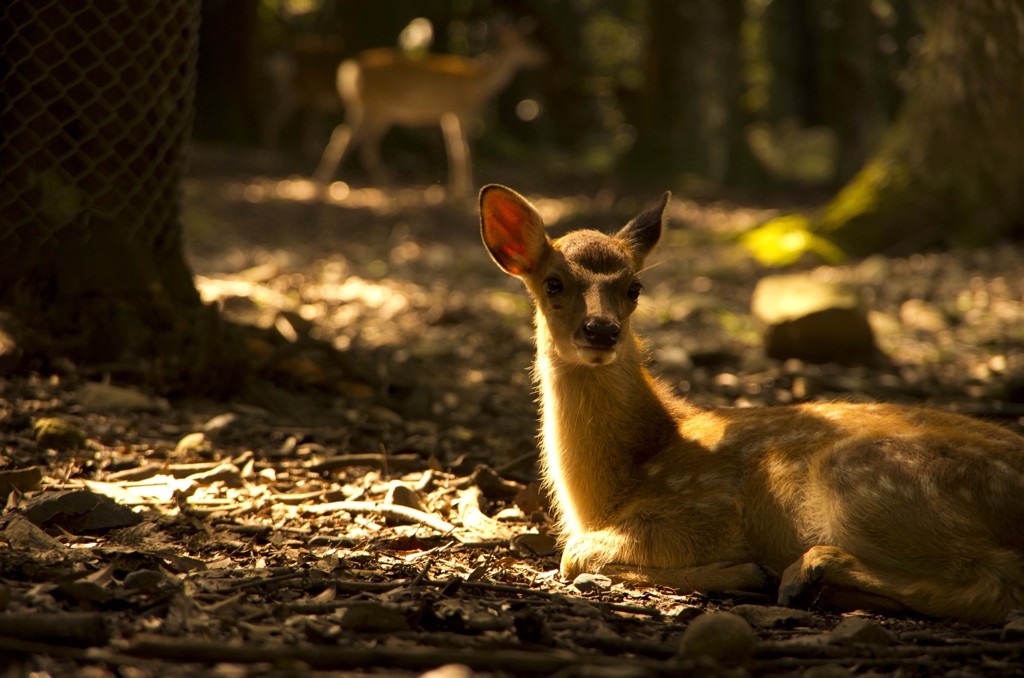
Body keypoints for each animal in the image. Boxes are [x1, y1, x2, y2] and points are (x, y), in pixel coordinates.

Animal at [311, 26, 548, 196]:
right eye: (528, 43)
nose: (543, 57)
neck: (481, 82)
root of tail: (347, 71)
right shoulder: (461, 109)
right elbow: (463, 148)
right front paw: (464, 191)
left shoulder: (447, 114)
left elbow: (452, 147)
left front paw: (455, 189)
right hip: (374, 107)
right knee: (347, 136)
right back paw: (322, 184)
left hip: (372, 110)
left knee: (359, 140)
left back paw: (384, 185)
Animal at [479, 186, 1024, 626]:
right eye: (552, 283)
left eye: (634, 287)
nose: (601, 330)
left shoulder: (704, 513)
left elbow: (574, 553)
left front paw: (744, 570)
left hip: (869, 484)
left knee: (996, 584)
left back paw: (803, 573)